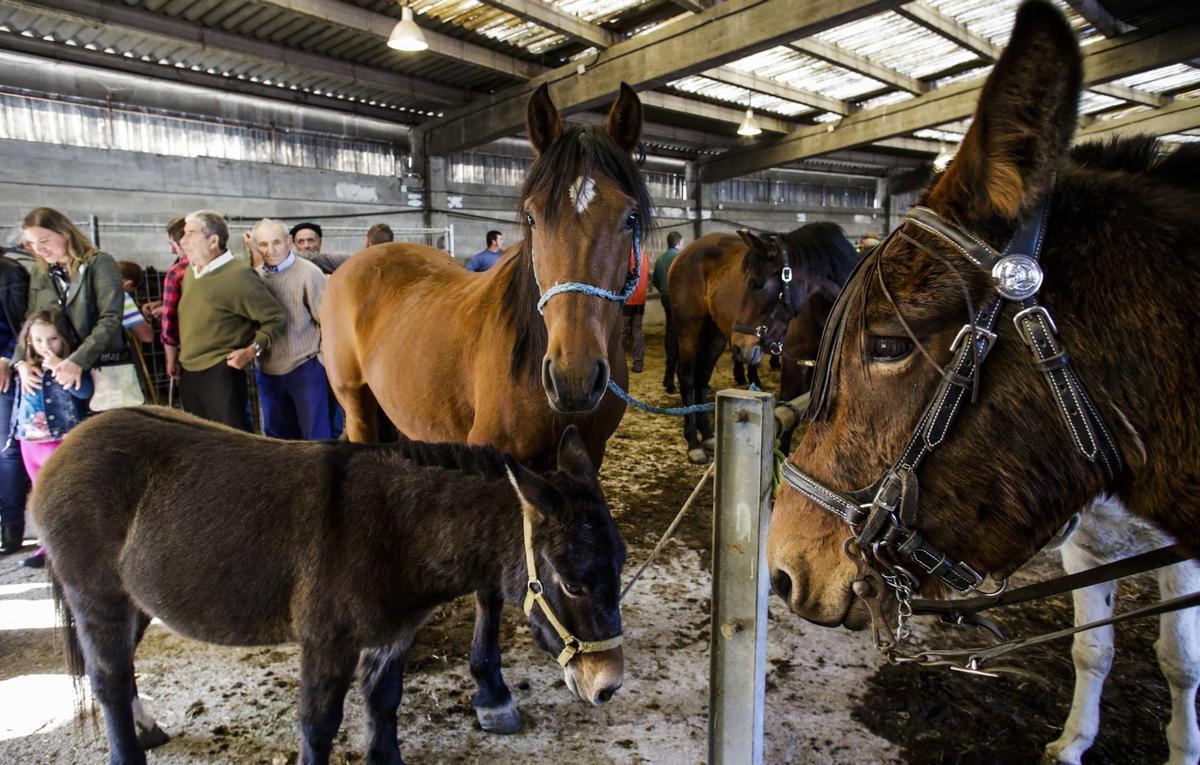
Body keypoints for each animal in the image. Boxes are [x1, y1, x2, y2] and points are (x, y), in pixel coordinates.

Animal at [35, 408, 625, 765]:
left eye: (620, 565)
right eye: (572, 585)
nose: (609, 687)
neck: (397, 530)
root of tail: (72, 442)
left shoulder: (393, 634)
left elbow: (383, 705)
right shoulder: (327, 641)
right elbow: (319, 724)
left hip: (135, 600)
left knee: (116, 668)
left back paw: (147, 728)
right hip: (97, 596)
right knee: (108, 678)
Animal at [1046, 497, 1200, 765]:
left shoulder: (1182, 563)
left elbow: (1180, 663)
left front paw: (1184, 753)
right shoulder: (1084, 554)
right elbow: (1092, 653)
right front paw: (1073, 744)